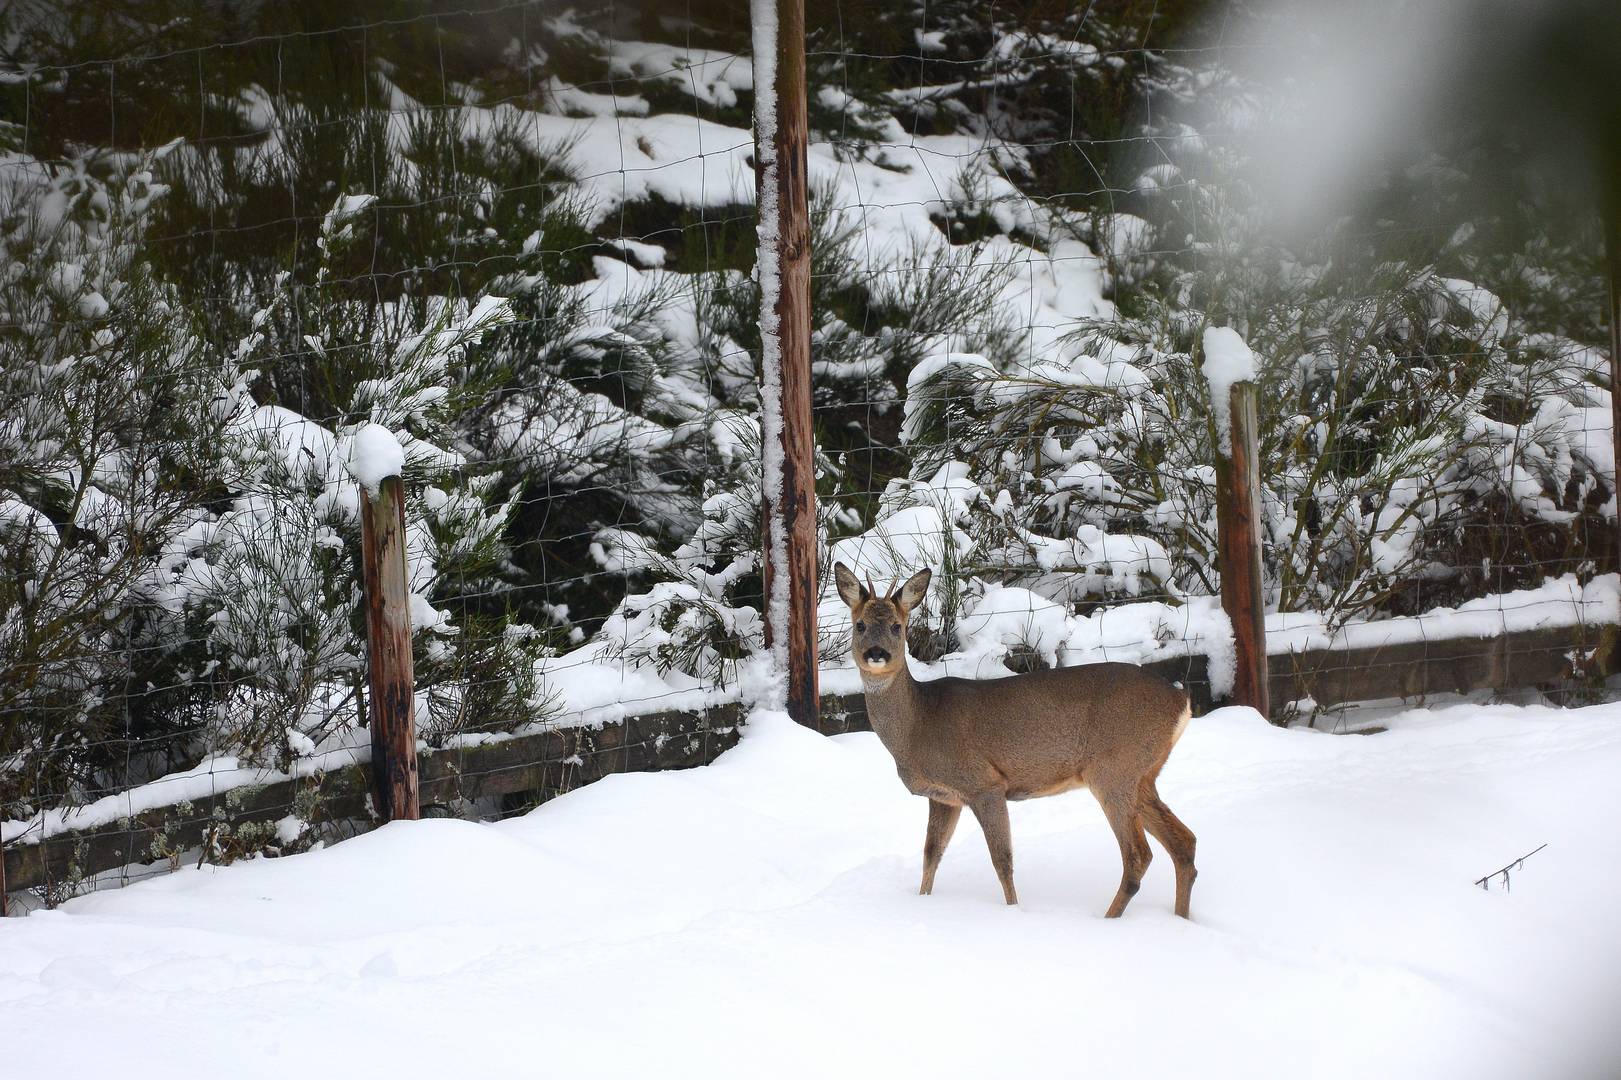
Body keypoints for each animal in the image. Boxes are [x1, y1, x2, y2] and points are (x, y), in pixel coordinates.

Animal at [842, 557, 1199, 914]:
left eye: (896, 626)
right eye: (859, 625)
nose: (876, 653)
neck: (919, 723)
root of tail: (1181, 700)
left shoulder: (984, 783)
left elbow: (1002, 861)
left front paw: (1013, 912)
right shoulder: (944, 797)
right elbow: (931, 855)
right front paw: (923, 902)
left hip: (1114, 769)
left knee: (1139, 855)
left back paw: (1109, 918)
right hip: (1143, 774)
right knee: (1185, 843)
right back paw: (1180, 918)